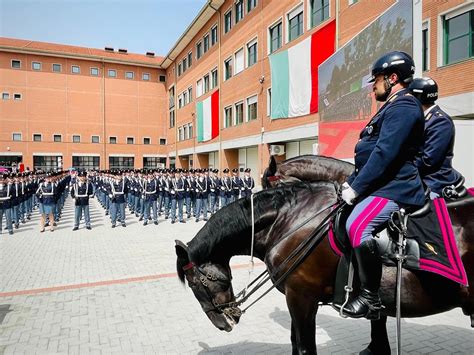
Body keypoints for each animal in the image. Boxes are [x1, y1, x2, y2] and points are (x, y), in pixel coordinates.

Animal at [176, 181, 474, 355]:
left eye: (196, 284)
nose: (223, 322)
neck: (289, 220)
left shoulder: (302, 297)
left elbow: (304, 348)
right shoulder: (298, 299)